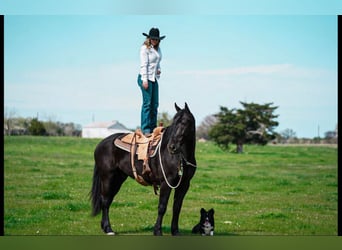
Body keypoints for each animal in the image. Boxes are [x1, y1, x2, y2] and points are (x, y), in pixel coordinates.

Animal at [91, 102, 196, 235]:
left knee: (108, 200)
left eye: (184, 122)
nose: (172, 147)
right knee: (105, 201)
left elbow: (177, 208)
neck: (180, 157)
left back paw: (105, 227)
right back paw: (109, 229)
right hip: (107, 177)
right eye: (174, 122)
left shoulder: (184, 184)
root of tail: (101, 144)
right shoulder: (166, 183)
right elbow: (162, 207)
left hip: (118, 179)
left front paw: (175, 231)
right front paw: (157, 231)